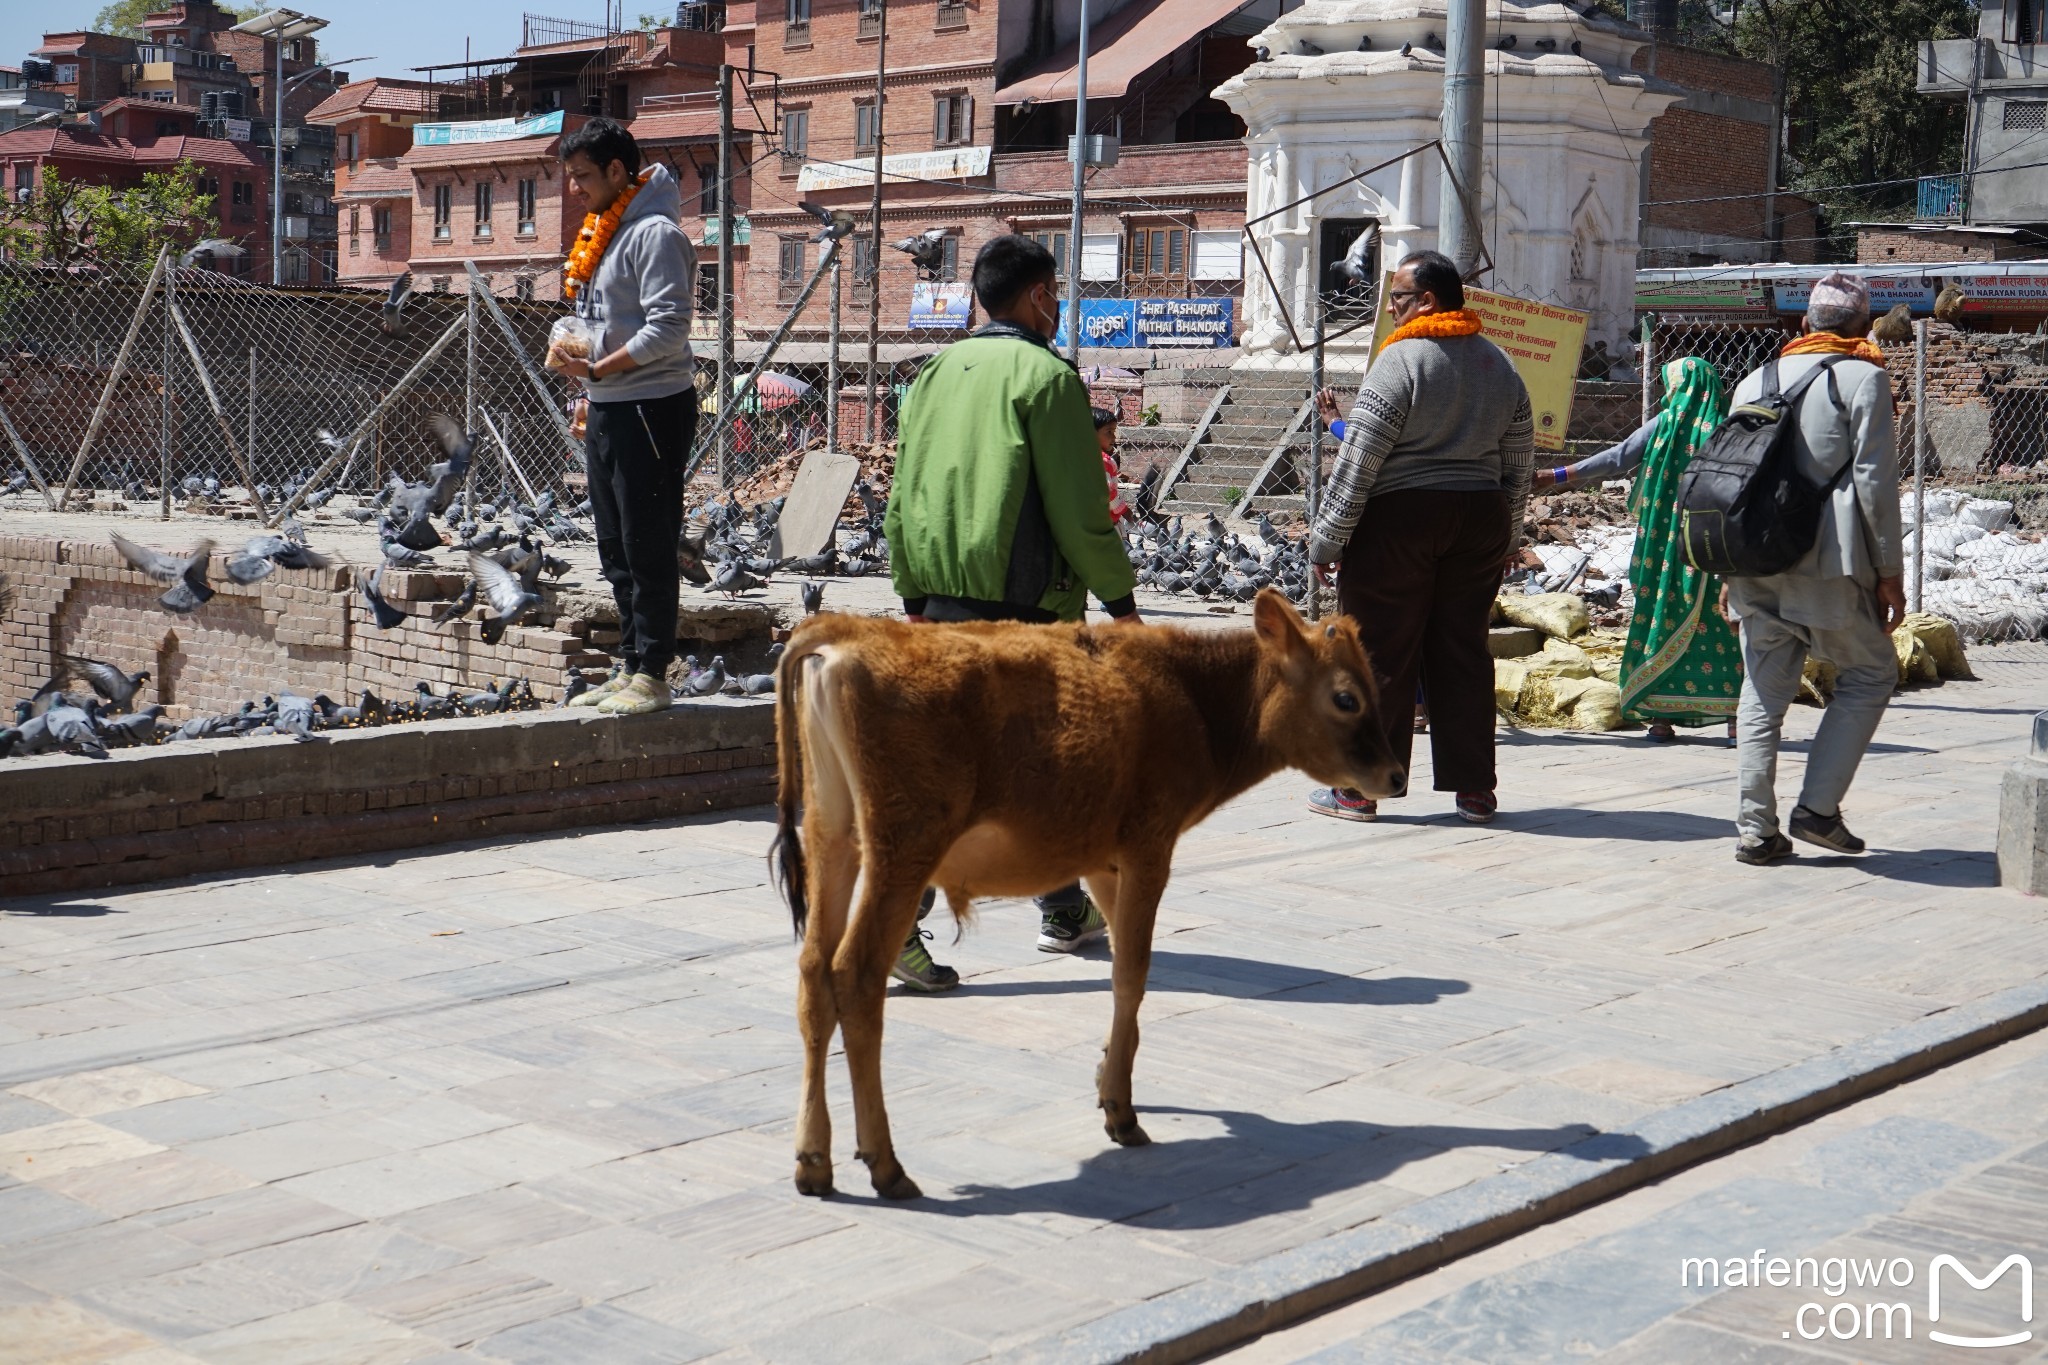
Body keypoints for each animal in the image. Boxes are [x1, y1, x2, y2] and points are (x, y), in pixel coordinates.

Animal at [770, 589, 1409, 1195]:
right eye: (1347, 698)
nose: (1398, 776)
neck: (1193, 698)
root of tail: (846, 631)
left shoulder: (1103, 861)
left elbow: (1122, 966)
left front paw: (1107, 1080)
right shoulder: (1149, 846)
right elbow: (1132, 973)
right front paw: (1121, 1110)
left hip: (833, 836)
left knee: (812, 972)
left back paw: (813, 1160)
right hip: (904, 846)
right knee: (855, 975)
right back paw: (884, 1163)